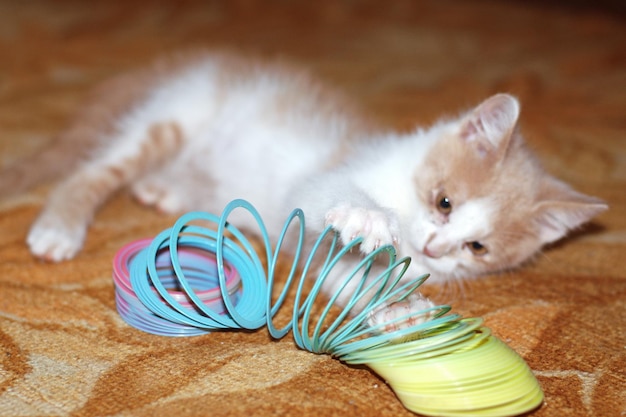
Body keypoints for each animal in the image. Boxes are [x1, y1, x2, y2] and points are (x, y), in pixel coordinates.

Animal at [0, 49, 604, 308]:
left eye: (478, 247)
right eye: (445, 201)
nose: (436, 245)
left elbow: (348, 280)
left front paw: (400, 315)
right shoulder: (332, 177)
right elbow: (328, 194)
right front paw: (367, 217)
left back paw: (161, 189)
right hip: (176, 113)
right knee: (95, 170)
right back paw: (61, 225)